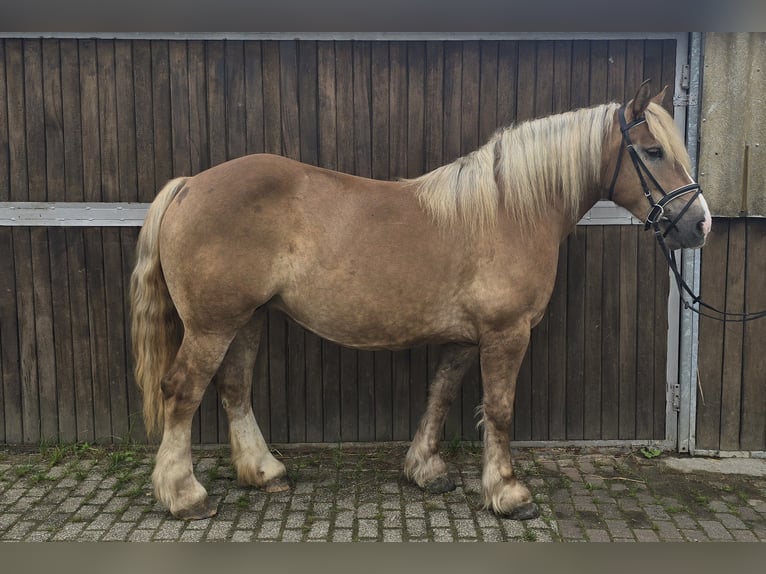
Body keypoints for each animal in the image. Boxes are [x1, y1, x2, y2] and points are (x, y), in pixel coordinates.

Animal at [130, 82, 712, 520]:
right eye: (654, 151)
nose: (700, 224)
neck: (510, 211)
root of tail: (188, 186)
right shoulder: (505, 333)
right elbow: (499, 410)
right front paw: (508, 493)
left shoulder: (465, 338)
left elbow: (441, 395)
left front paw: (426, 471)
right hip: (212, 325)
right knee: (181, 391)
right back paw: (183, 496)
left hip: (245, 318)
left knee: (234, 389)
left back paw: (264, 471)